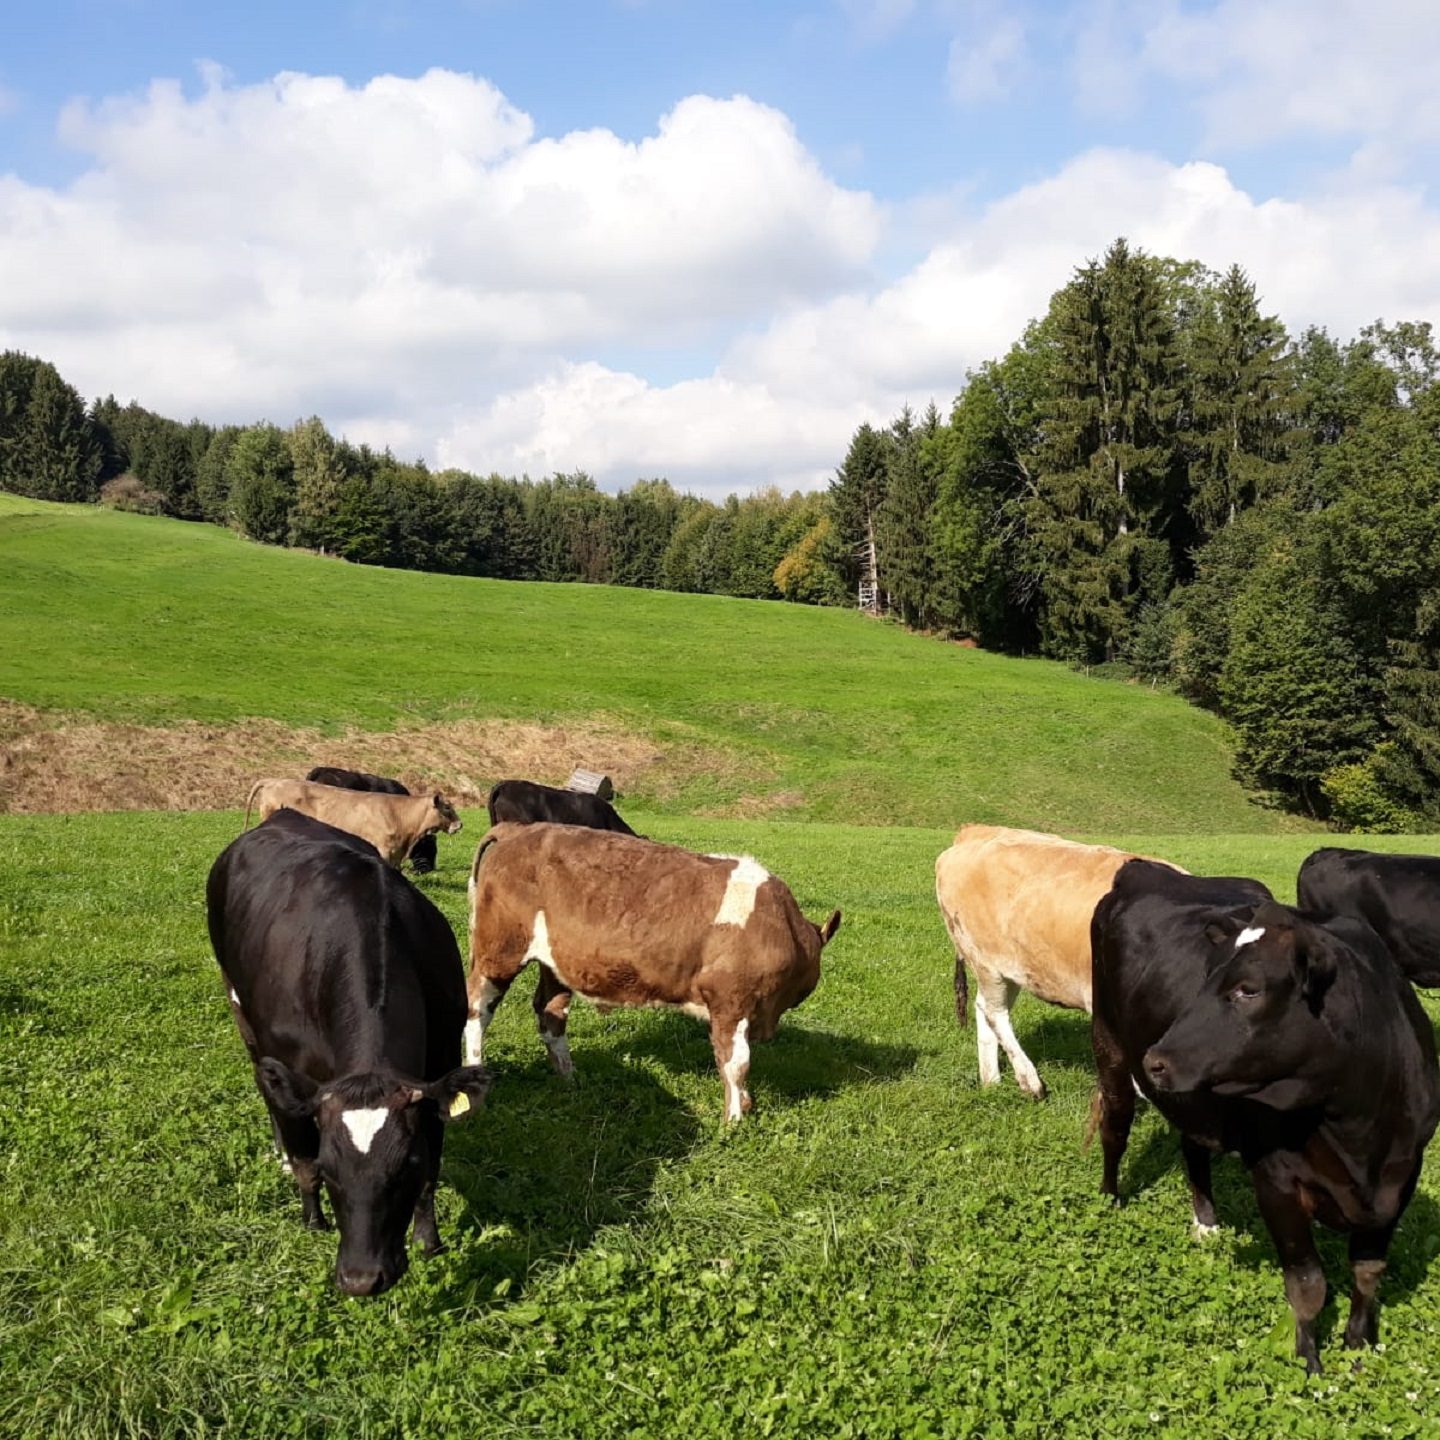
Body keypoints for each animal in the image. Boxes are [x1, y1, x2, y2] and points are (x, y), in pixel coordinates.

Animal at [206, 809, 491, 1296]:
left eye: (405, 1167)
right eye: (330, 1169)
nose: (361, 1278)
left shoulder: (439, 1064)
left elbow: (433, 1170)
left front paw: (428, 1241)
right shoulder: (289, 1068)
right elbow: (303, 1158)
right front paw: (313, 1221)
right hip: (239, 1009)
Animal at [463, 823, 840, 1122]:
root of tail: (518, 829)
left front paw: (744, 1106)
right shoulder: (730, 1000)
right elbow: (735, 1061)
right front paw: (733, 1120)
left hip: (553, 965)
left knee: (550, 1013)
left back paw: (570, 1079)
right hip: (498, 952)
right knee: (477, 1010)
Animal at [935, 824, 1184, 1099]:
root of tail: (974, 831)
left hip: (1012, 968)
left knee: (984, 1007)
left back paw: (991, 1080)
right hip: (986, 961)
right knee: (994, 1012)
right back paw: (1029, 1081)